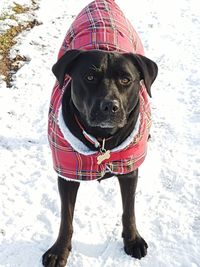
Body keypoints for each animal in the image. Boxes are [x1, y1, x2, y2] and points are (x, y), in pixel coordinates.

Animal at [42, 2, 158, 267]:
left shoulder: (128, 169)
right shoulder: (67, 173)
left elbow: (129, 210)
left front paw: (132, 239)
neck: (102, 139)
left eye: (126, 79)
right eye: (89, 76)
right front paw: (59, 250)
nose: (109, 106)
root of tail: (102, 3)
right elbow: (66, 218)